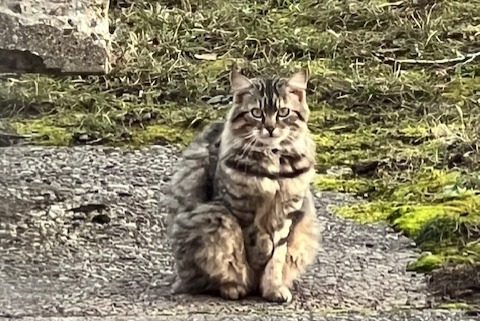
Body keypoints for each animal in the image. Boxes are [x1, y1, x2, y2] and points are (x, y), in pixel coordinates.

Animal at [167, 66, 320, 302]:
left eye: (283, 112)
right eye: (256, 113)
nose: (270, 128)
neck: (272, 164)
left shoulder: (288, 211)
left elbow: (277, 255)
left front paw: (273, 288)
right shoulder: (239, 206)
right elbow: (252, 241)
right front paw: (258, 259)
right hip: (213, 218)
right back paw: (235, 288)